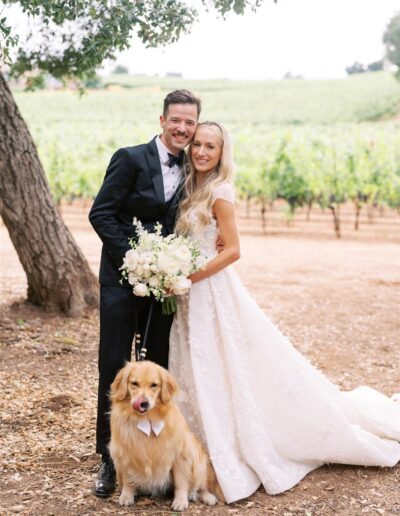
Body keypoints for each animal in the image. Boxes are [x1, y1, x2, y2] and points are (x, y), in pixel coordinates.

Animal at [108, 360, 219, 510]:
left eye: (154, 385)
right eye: (134, 383)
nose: (143, 403)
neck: (146, 420)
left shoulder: (180, 455)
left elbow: (181, 482)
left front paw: (180, 501)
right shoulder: (124, 453)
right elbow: (128, 479)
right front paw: (127, 495)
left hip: (197, 457)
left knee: (200, 486)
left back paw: (207, 496)